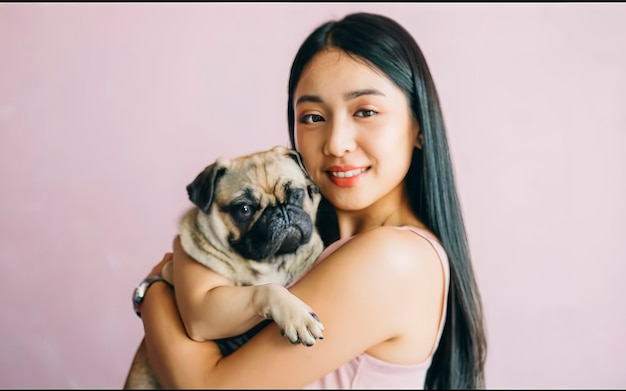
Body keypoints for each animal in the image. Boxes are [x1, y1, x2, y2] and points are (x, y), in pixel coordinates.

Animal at [124, 146, 324, 388]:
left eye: (296, 195)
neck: (266, 263)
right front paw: (297, 316)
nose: (281, 211)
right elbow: (271, 289)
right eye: (244, 209)